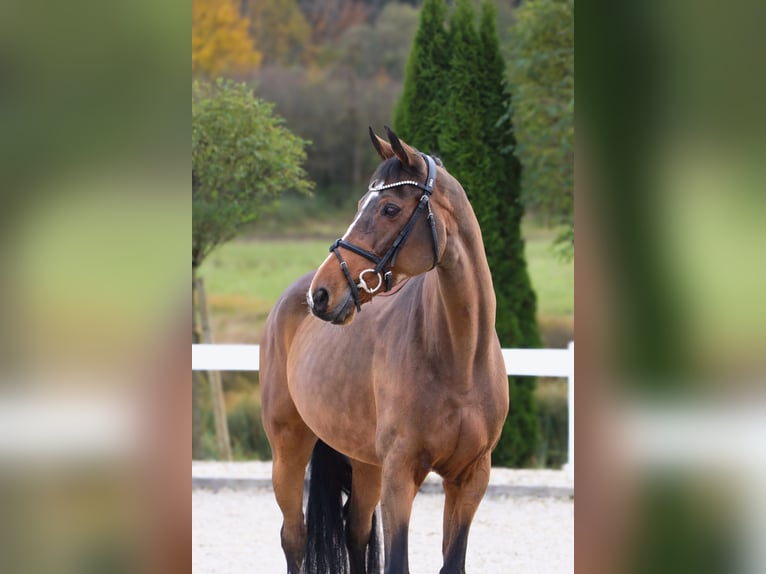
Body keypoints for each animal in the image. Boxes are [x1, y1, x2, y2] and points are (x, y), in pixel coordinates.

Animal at [260, 127, 509, 574]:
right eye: (362, 205)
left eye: (390, 208)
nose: (322, 294)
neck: (459, 359)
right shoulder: (400, 474)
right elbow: (397, 562)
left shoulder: (470, 478)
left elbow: (452, 562)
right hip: (288, 450)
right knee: (294, 537)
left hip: (365, 464)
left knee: (355, 530)